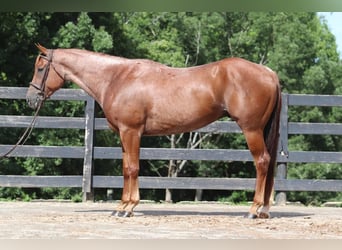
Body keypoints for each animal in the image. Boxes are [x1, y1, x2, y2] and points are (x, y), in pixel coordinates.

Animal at [27, 44, 280, 218]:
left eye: (40, 68)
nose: (30, 99)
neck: (116, 78)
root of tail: (269, 73)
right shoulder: (123, 135)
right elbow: (126, 169)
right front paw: (121, 206)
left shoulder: (131, 132)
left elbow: (132, 168)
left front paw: (128, 207)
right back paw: (263, 210)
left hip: (251, 129)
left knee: (262, 162)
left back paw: (254, 209)